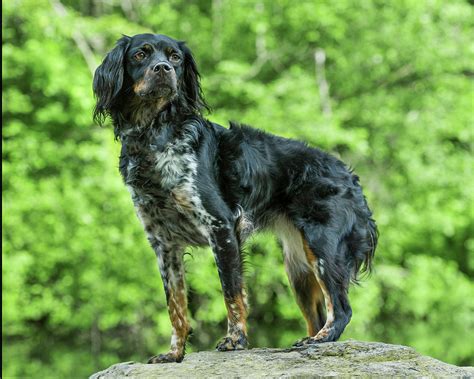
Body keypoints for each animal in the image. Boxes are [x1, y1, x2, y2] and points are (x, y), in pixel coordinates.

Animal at [91, 33, 378, 366]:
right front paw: (174, 353)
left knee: (341, 309)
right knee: (320, 314)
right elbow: (175, 306)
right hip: (298, 265)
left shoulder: (221, 227)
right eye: (140, 54)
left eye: (175, 57)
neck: (155, 136)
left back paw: (321, 340)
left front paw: (235, 340)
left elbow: (231, 292)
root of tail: (350, 177)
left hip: (322, 246)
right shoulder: (164, 243)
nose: (163, 69)